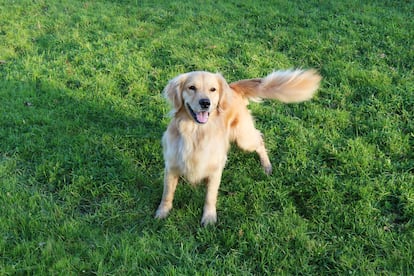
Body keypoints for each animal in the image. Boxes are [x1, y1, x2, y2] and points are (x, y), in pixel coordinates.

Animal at [154, 69, 320, 226]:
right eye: (191, 87)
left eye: (212, 89)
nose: (205, 103)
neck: (196, 134)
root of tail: (232, 88)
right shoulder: (171, 167)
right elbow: (167, 193)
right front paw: (162, 212)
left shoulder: (215, 170)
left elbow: (210, 197)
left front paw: (209, 217)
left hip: (243, 139)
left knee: (259, 140)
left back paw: (266, 165)